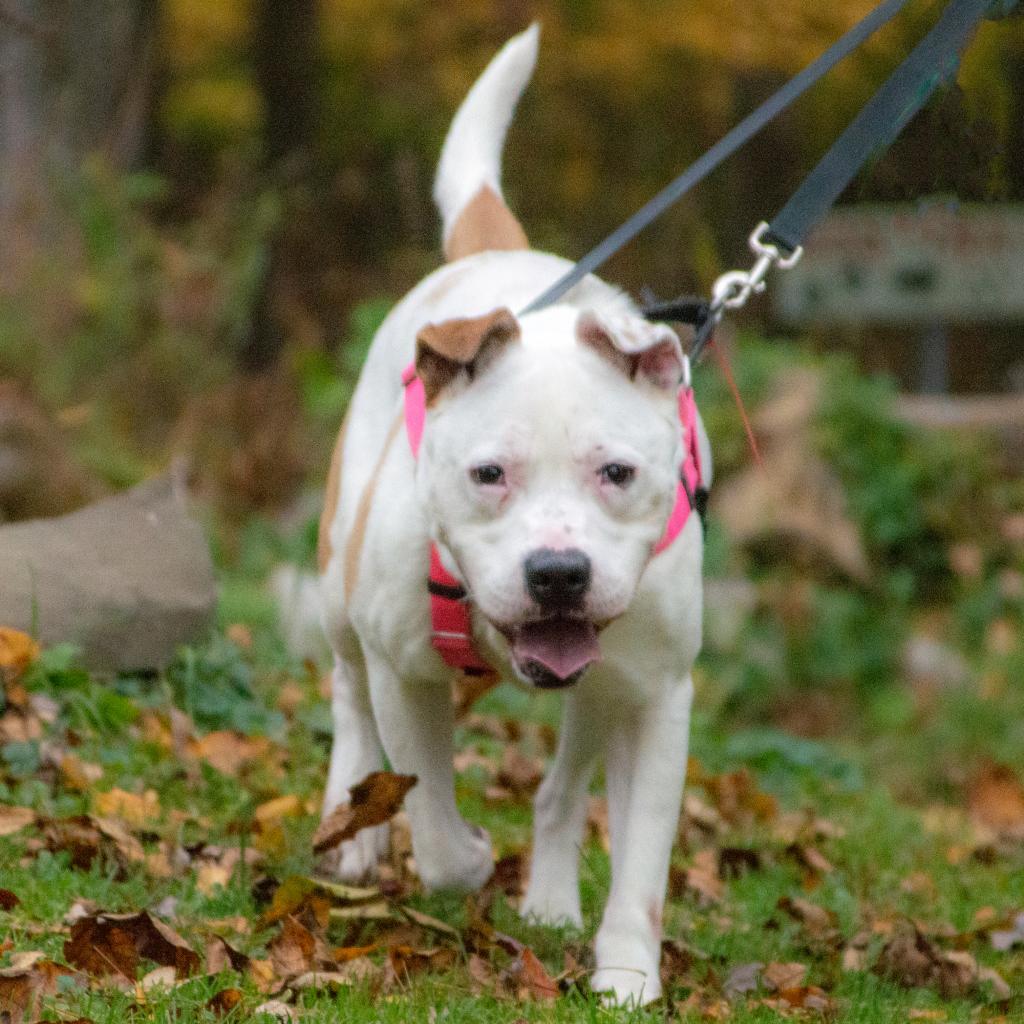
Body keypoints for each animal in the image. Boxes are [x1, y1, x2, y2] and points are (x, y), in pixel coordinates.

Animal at [319, 25, 712, 1007]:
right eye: (488, 474)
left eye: (617, 473)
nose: (559, 573)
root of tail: (493, 253)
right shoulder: (405, 669)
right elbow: (428, 810)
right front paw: (456, 854)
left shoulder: (658, 698)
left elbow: (643, 863)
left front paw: (626, 976)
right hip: (340, 581)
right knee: (347, 694)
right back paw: (355, 825)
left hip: (603, 689)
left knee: (562, 788)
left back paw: (550, 900)